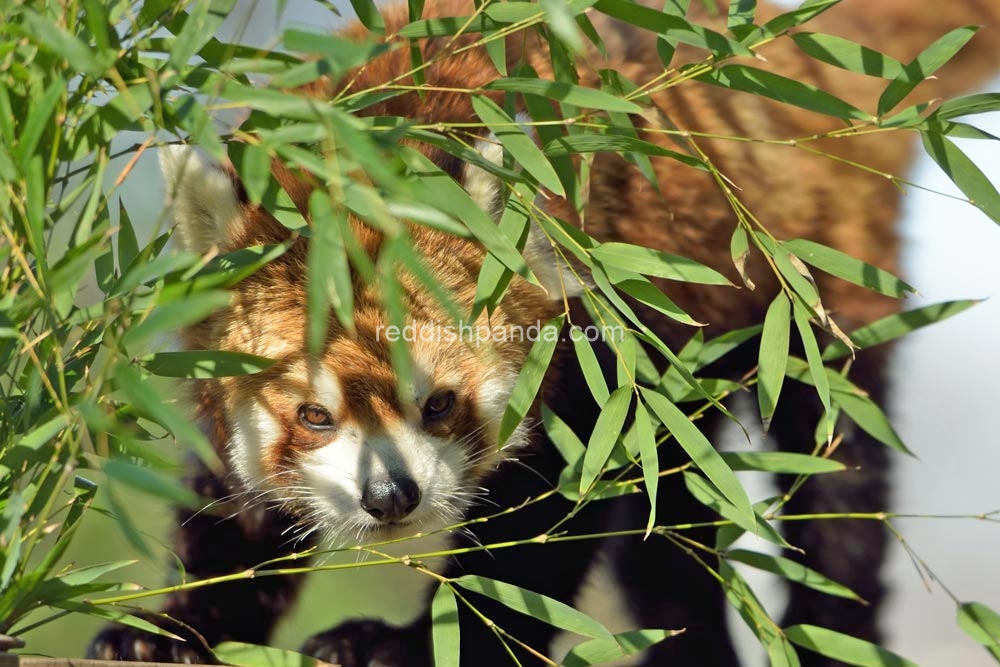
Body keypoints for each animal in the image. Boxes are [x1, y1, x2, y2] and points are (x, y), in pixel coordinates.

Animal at [90, 1, 1000, 667]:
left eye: (439, 402)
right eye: (313, 415)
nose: (391, 497)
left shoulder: (595, 345)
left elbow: (545, 531)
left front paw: (412, 642)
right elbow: (230, 513)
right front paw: (170, 628)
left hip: (805, 289)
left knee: (836, 478)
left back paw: (832, 627)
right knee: (672, 523)